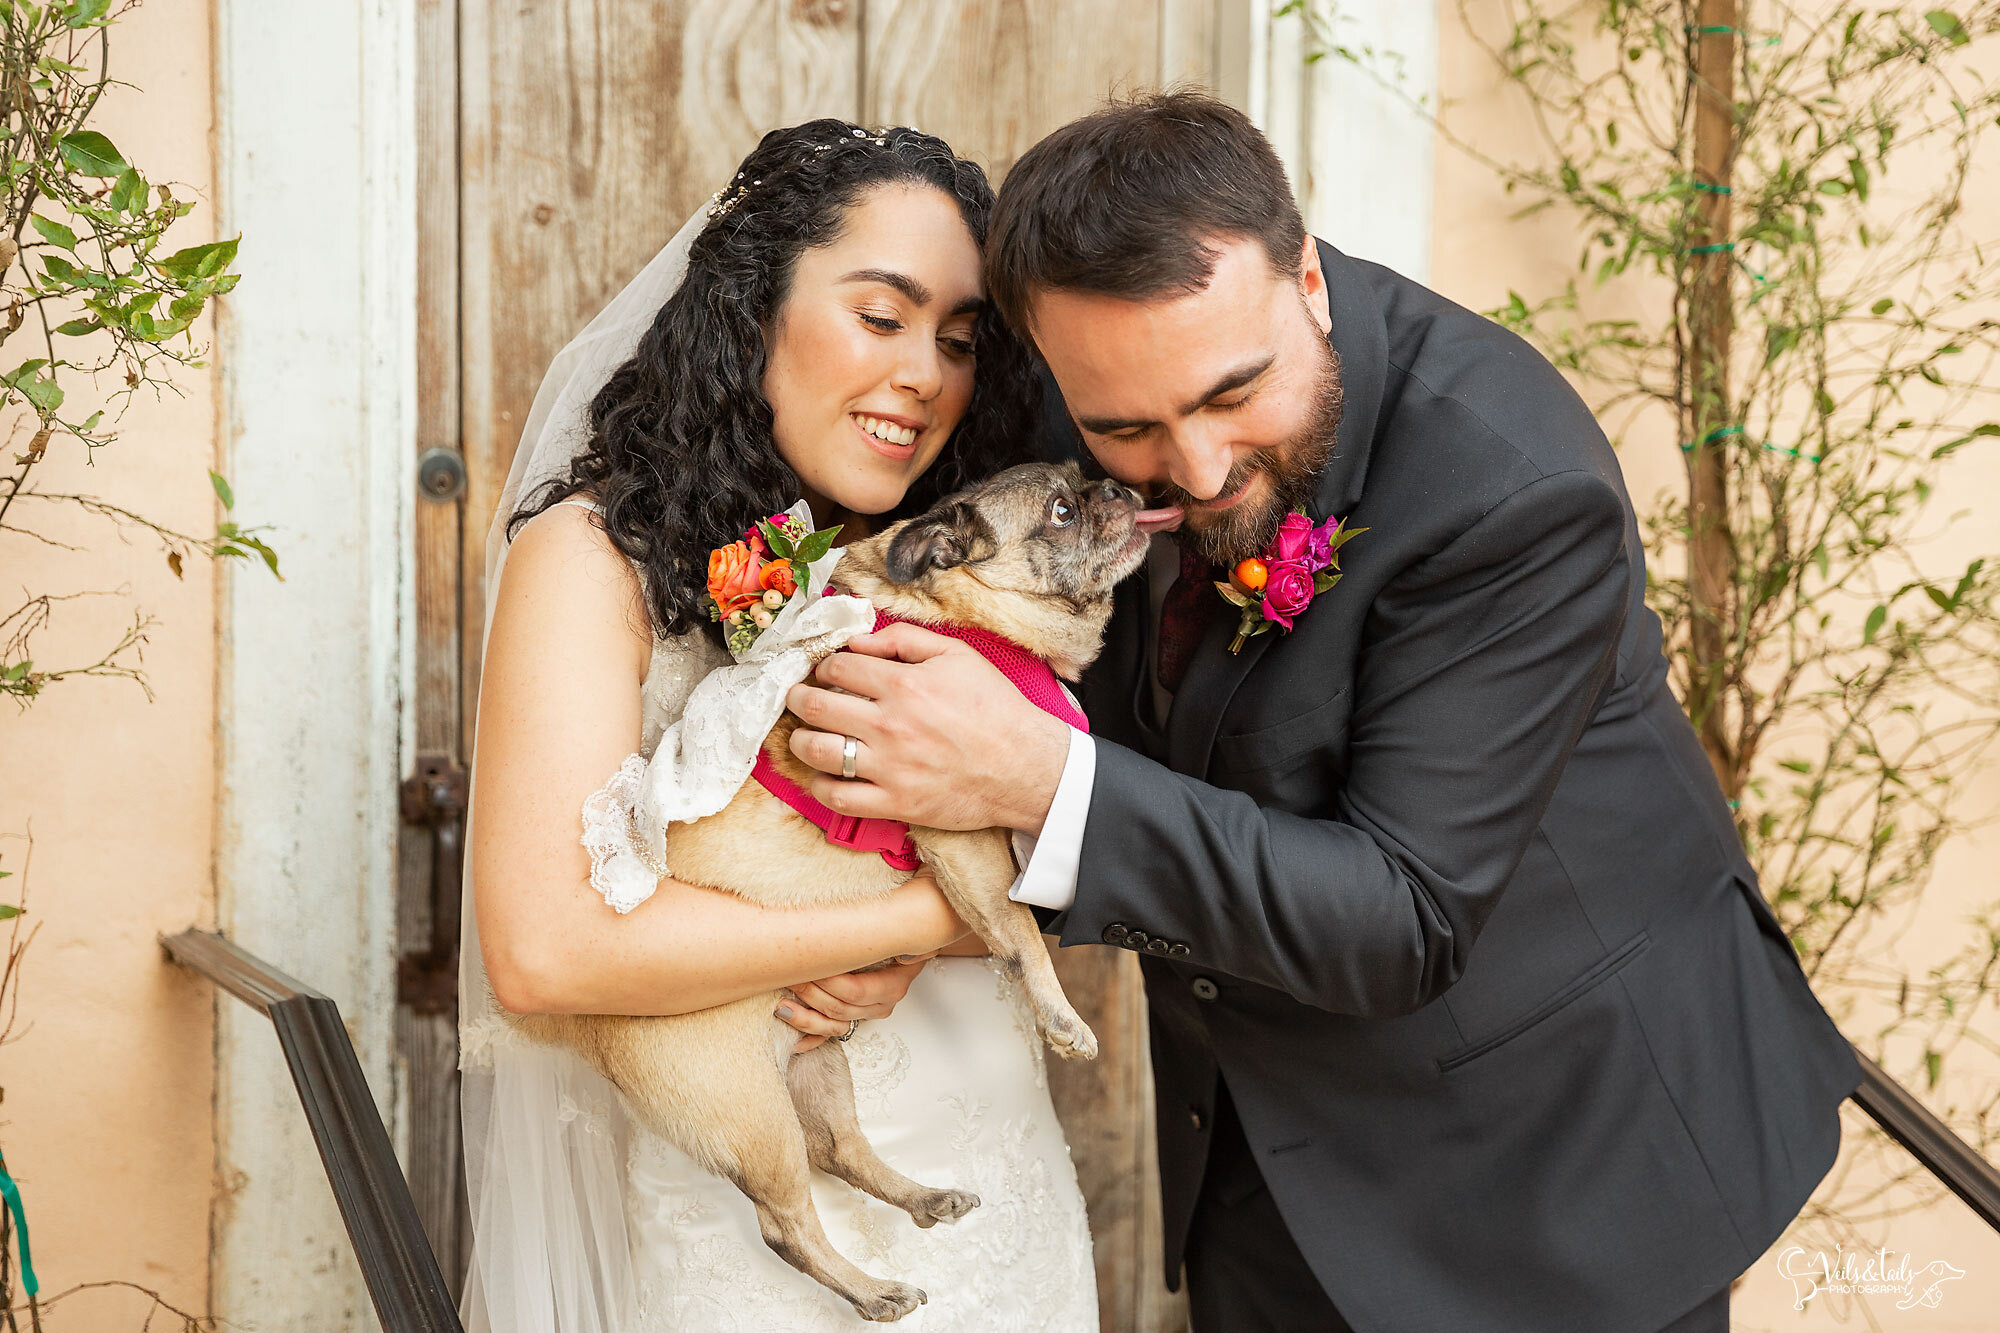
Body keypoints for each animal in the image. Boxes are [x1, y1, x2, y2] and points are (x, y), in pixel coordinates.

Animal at [508, 462, 1152, 1312]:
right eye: (1063, 510)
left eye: (1084, 483)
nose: (1121, 488)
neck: (970, 617)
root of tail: (592, 1033)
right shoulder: (961, 833)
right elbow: (1018, 933)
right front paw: (1061, 1016)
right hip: (752, 1115)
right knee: (786, 1224)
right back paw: (873, 1291)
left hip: (815, 1070)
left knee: (841, 1148)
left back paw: (922, 1198)